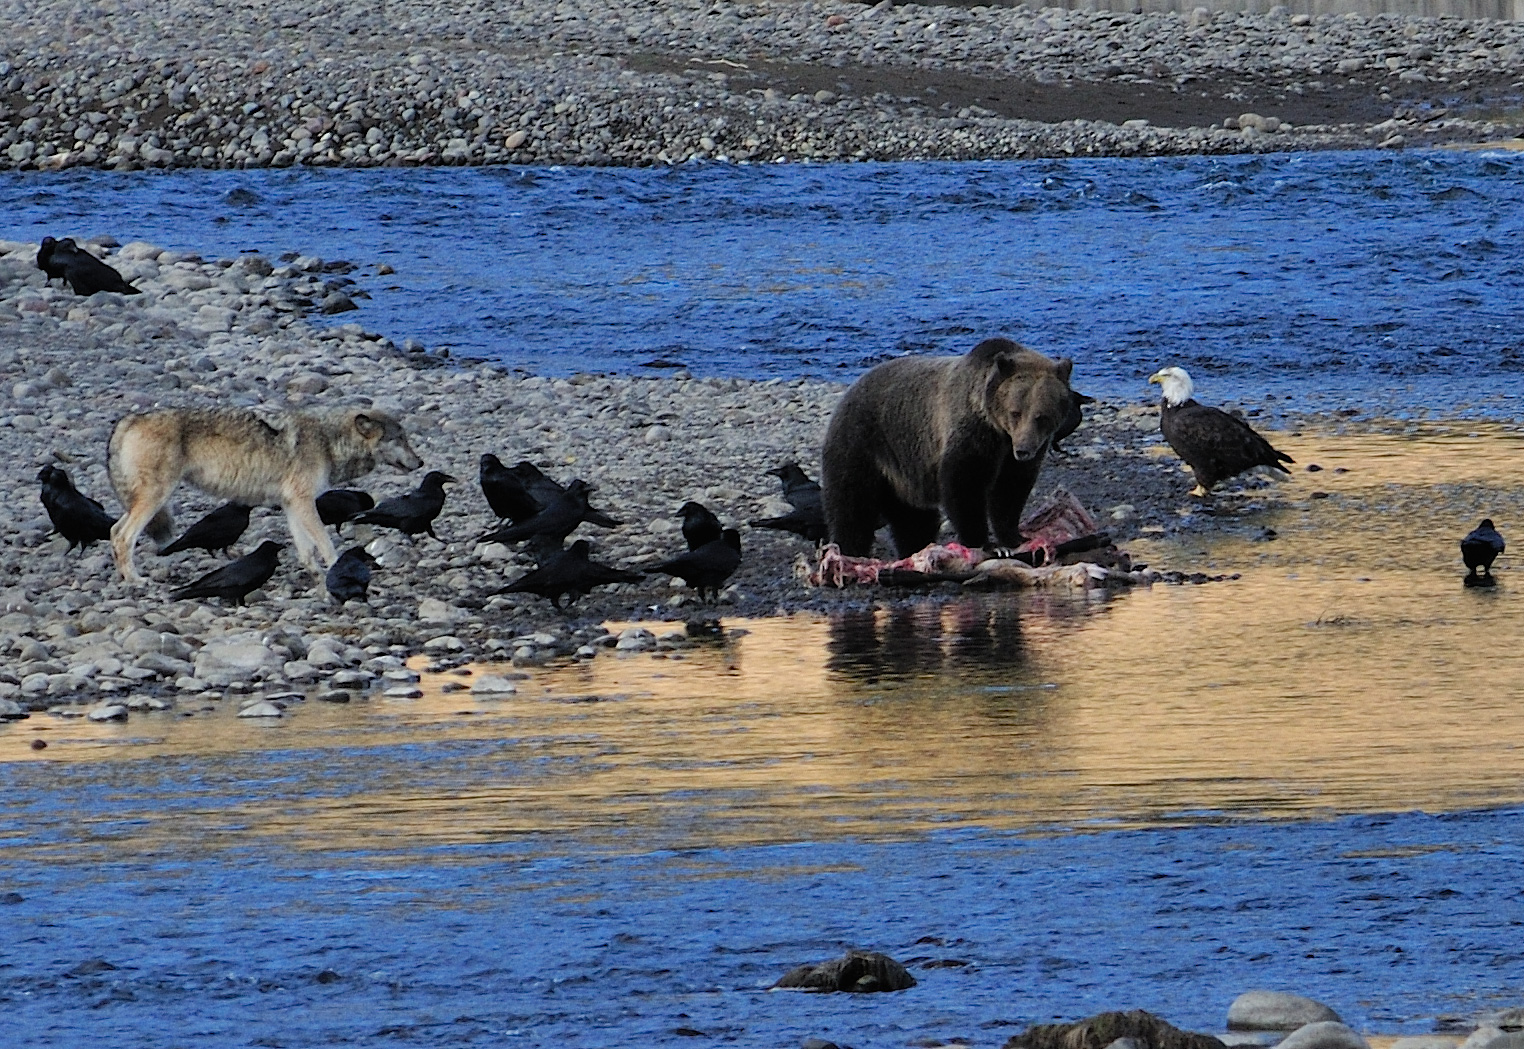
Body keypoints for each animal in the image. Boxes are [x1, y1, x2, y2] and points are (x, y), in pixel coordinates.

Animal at [109, 405, 423, 582]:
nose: (420, 462)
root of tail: (129, 420)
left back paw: (123, 578)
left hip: (145, 502)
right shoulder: (304, 502)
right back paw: (136, 580)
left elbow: (306, 551)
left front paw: (317, 578)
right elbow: (326, 545)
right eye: (400, 439)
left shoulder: (293, 505)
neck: (329, 441)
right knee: (124, 537)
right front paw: (339, 568)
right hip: (156, 498)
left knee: (113, 531)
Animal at [822, 340, 1072, 561]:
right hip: (865, 443)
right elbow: (965, 482)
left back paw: (915, 548)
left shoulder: (1012, 456)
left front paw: (1014, 536)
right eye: (1015, 412)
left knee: (913, 520)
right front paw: (985, 542)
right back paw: (850, 550)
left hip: (904, 473)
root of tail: (851, 389)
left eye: (1041, 417)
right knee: (852, 505)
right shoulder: (972, 431)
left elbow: (1010, 490)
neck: (999, 431)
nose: (1023, 450)